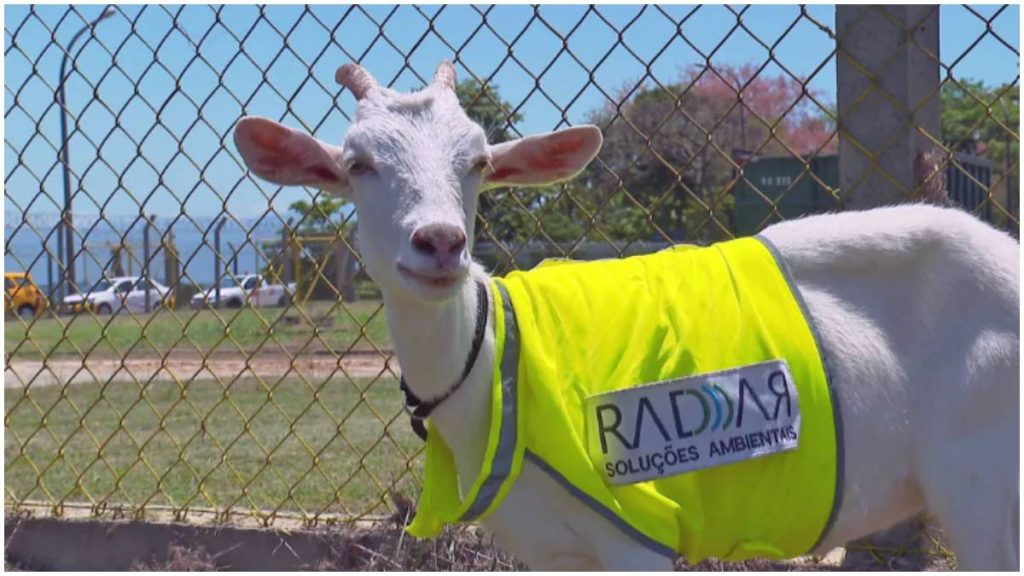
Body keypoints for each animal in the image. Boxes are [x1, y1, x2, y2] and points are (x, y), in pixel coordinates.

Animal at [233, 61, 1019, 571]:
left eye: (478, 162)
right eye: (357, 163)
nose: (440, 242)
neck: (499, 361)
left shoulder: (638, 527)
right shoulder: (555, 552)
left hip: (986, 483)